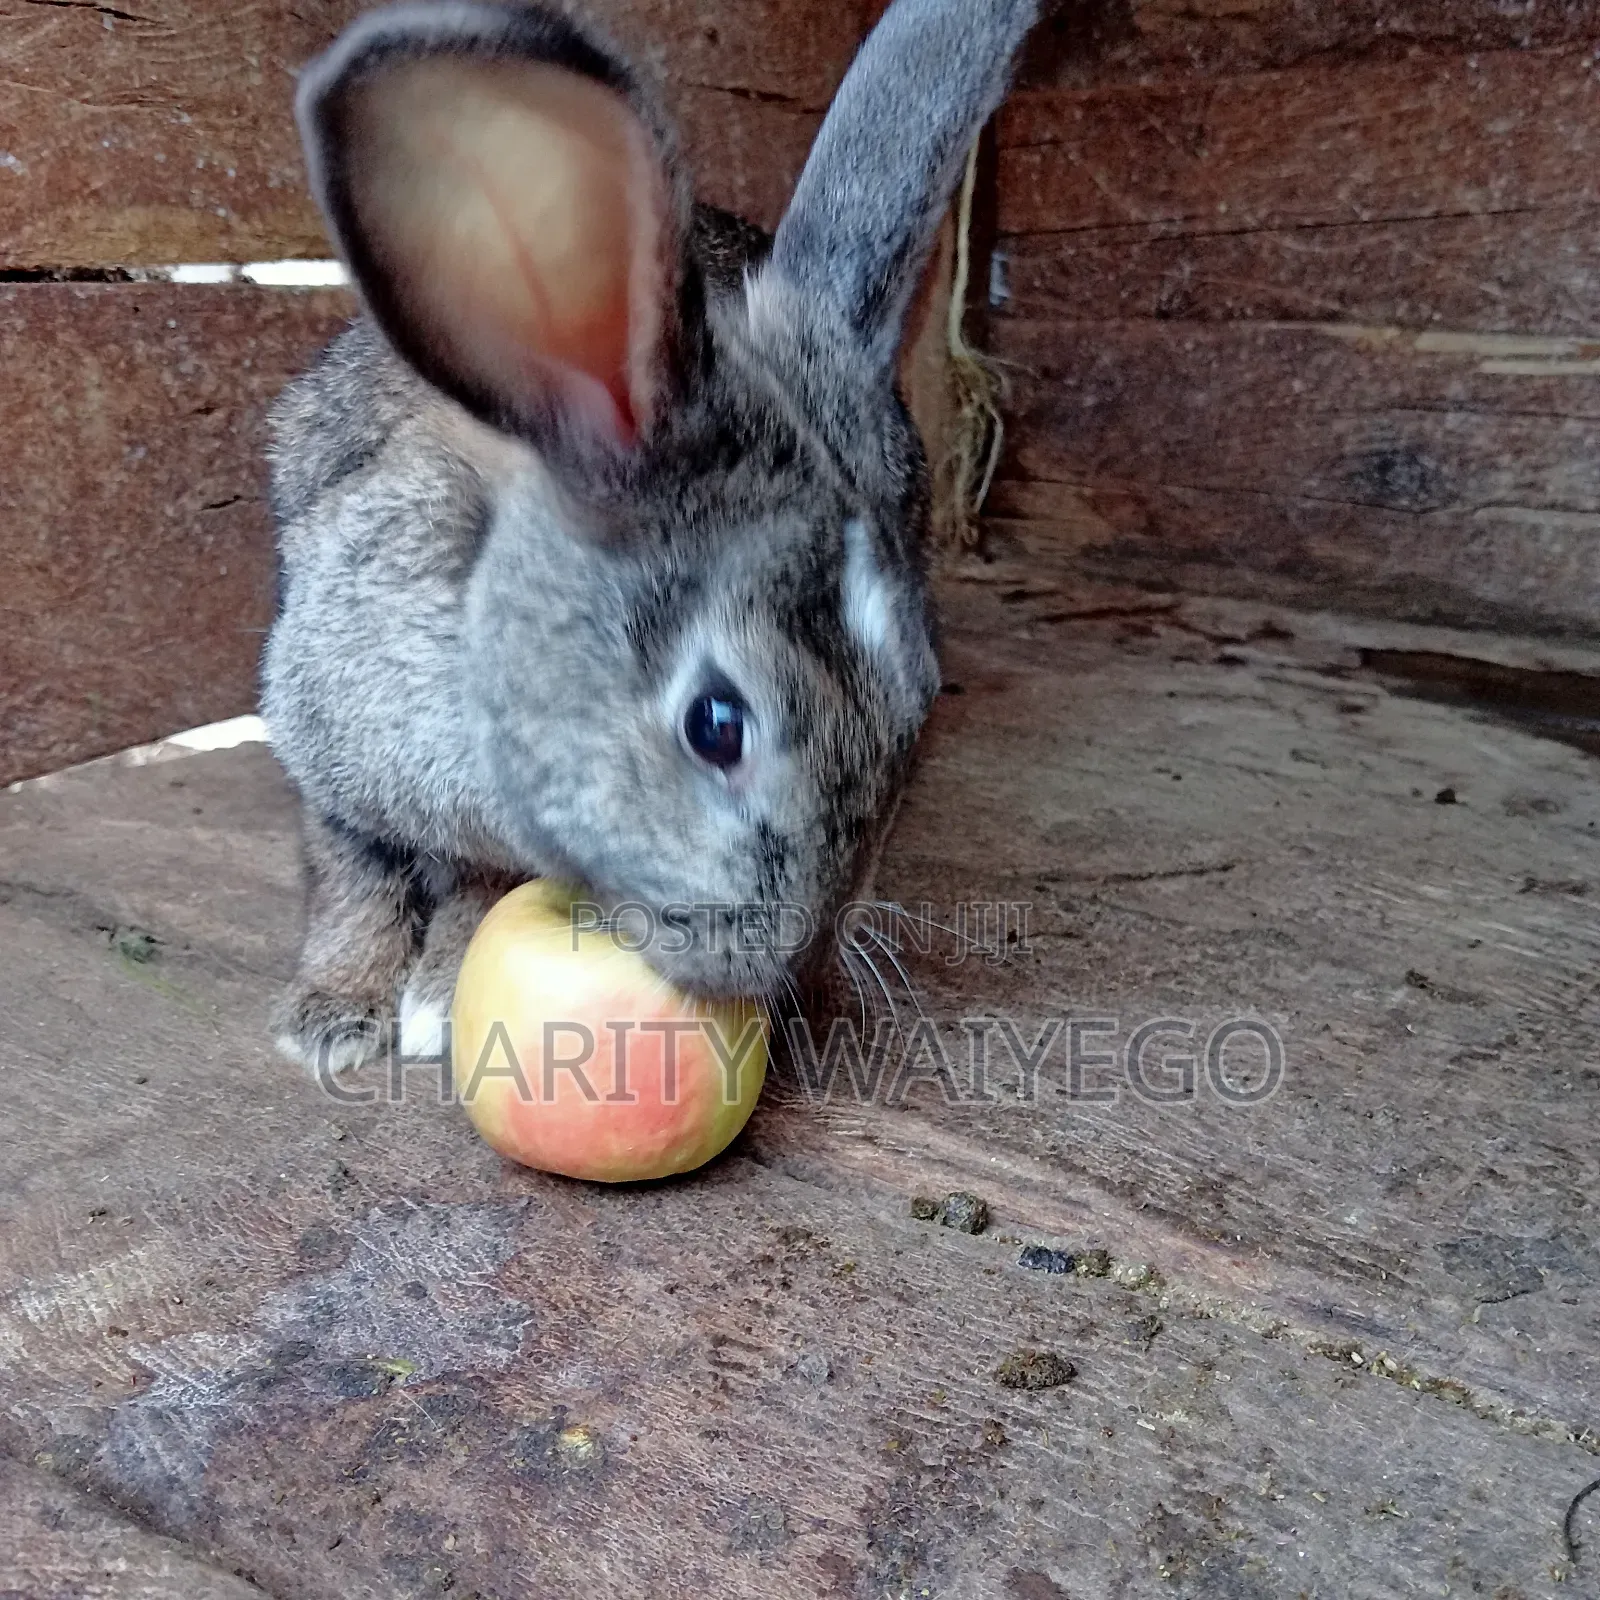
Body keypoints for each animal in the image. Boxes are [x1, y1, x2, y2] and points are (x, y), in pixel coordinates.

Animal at [262, 0, 1040, 1076]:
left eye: (920, 705)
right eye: (717, 725)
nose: (785, 965)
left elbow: (471, 887)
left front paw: (434, 990)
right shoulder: (326, 732)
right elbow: (354, 873)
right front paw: (332, 1018)